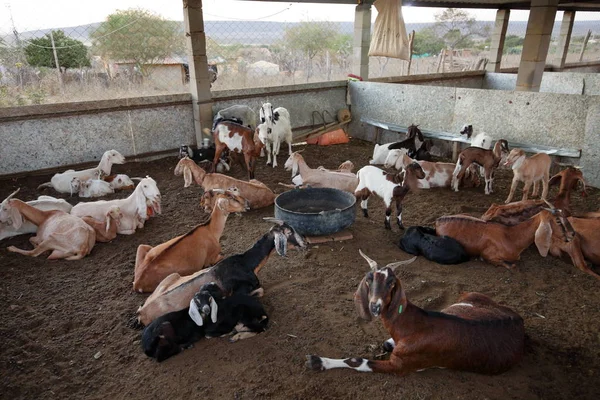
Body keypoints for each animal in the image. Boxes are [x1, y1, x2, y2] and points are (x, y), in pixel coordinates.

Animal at [308, 250, 524, 376]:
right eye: (369, 279)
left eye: (391, 282)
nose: (375, 306)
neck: (414, 326)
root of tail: (519, 320)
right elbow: (384, 344)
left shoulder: (400, 365)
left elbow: (357, 360)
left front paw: (318, 361)